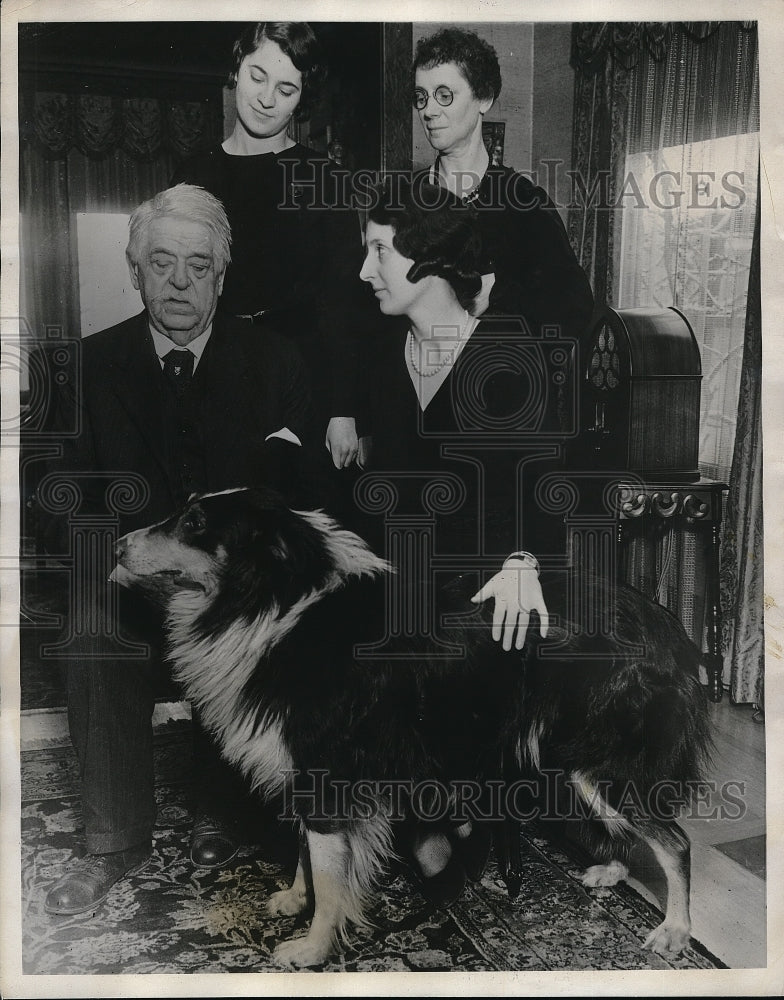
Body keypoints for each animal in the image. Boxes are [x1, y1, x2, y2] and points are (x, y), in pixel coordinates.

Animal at [118, 486, 716, 968]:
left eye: (194, 522)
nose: (118, 546)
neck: (277, 604)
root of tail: (671, 628)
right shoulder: (307, 774)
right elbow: (307, 854)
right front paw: (294, 899)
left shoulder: (327, 777)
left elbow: (331, 877)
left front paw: (312, 949)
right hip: (568, 760)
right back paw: (610, 871)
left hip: (604, 762)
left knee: (676, 842)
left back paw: (674, 930)